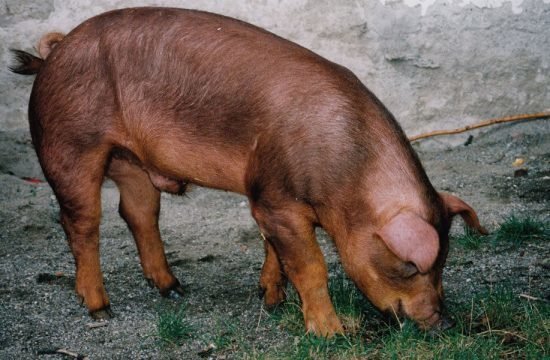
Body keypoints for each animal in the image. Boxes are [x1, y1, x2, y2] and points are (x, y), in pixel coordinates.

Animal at [10, 6, 488, 338]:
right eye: (409, 266)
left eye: (445, 261)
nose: (443, 324)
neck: (347, 181)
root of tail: (53, 53)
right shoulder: (277, 201)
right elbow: (311, 266)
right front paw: (333, 334)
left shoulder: (266, 197)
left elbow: (273, 250)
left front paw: (270, 299)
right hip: (69, 144)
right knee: (81, 223)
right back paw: (100, 308)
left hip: (131, 162)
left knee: (139, 213)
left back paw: (174, 289)